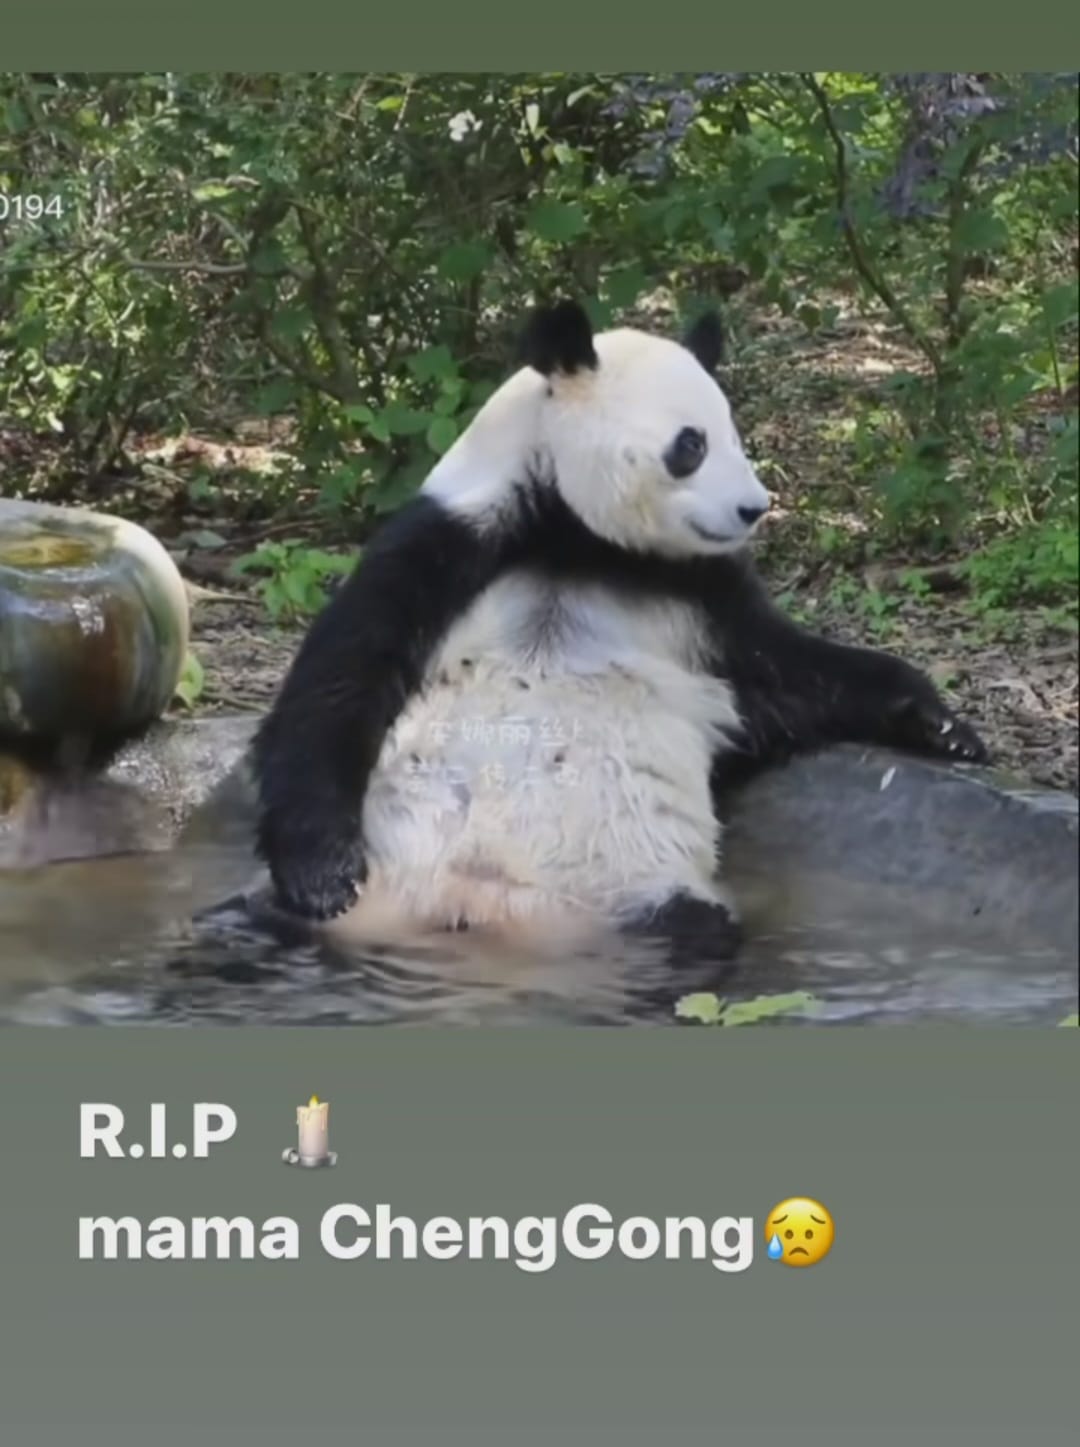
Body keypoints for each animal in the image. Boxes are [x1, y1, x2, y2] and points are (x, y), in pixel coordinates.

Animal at [252, 300, 987, 957]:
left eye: (736, 435)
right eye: (691, 444)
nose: (753, 508)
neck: (576, 542)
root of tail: (478, 909)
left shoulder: (703, 599)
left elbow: (794, 673)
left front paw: (943, 726)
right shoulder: (452, 540)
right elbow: (340, 681)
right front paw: (322, 872)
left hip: (633, 896)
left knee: (690, 937)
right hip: (383, 892)